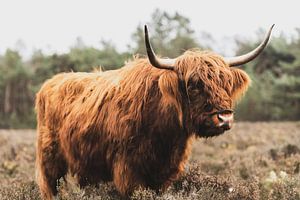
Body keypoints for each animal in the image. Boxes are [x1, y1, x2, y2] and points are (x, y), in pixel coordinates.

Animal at [35, 24, 274, 198]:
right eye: (193, 85)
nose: (224, 118)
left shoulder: (165, 173)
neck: (164, 135)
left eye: (226, 84)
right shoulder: (128, 171)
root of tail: (50, 83)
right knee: (50, 186)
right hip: (50, 160)